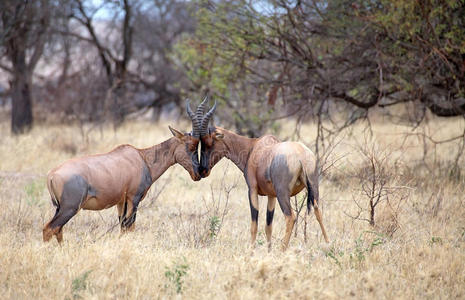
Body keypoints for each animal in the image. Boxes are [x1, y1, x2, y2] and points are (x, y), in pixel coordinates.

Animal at [43, 102, 205, 243]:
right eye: (191, 145)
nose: (198, 174)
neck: (141, 157)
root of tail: (52, 174)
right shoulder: (134, 198)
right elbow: (130, 225)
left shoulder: (121, 201)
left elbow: (123, 226)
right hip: (70, 207)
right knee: (50, 228)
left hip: (59, 207)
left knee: (57, 230)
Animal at [192, 98, 330, 251]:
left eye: (208, 142)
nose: (202, 170)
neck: (253, 147)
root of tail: (301, 155)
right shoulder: (271, 195)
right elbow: (268, 226)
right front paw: (268, 251)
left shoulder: (252, 190)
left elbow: (254, 224)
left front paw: (252, 251)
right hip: (313, 187)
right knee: (318, 211)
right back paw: (328, 244)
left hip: (283, 193)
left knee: (290, 217)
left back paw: (282, 250)